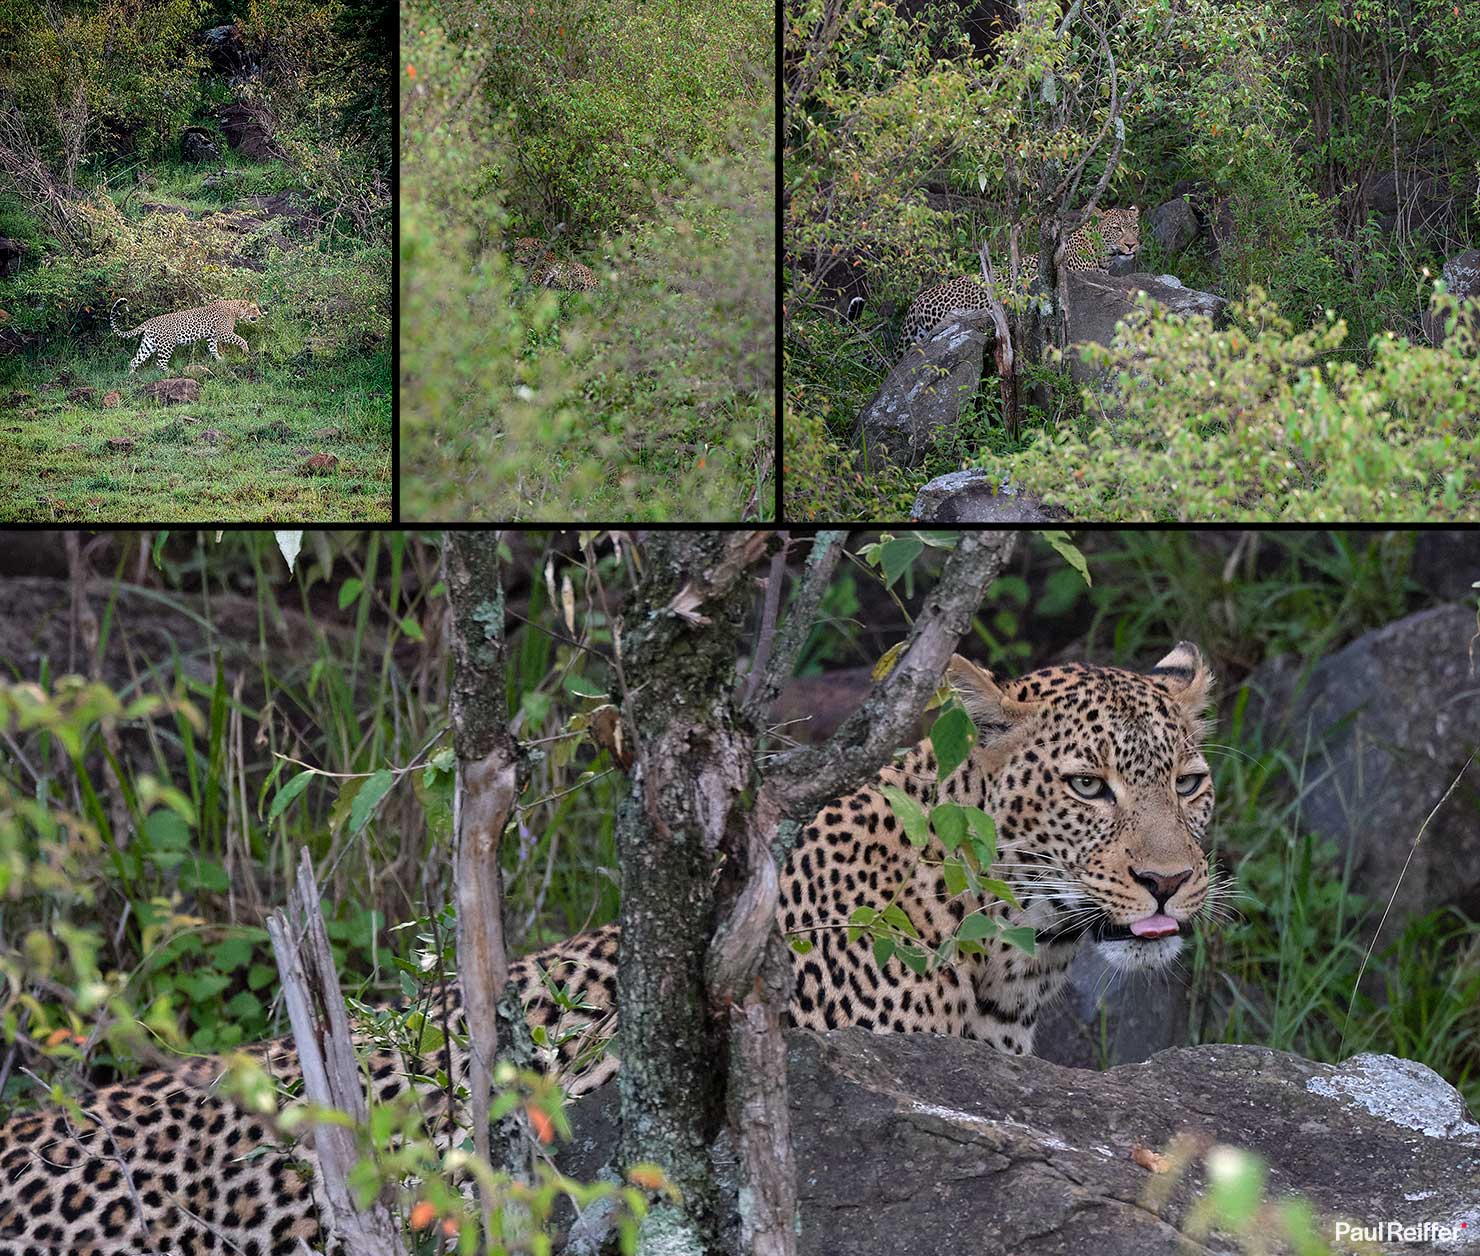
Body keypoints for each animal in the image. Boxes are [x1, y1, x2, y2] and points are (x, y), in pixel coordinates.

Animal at [110, 298, 262, 374]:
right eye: (254, 308)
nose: (260, 315)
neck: (235, 309)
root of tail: (148, 322)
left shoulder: (211, 336)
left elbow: (213, 348)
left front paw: (219, 359)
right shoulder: (223, 333)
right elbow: (241, 339)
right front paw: (246, 350)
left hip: (148, 345)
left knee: (134, 360)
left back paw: (132, 376)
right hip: (167, 345)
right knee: (160, 362)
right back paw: (170, 372)